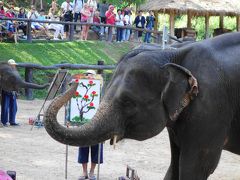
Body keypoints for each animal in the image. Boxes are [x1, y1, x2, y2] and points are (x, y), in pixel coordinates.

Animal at [43, 32, 240, 180]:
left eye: (128, 102)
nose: (72, 83)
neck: (174, 52)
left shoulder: (212, 106)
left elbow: (197, 168)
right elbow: (174, 166)